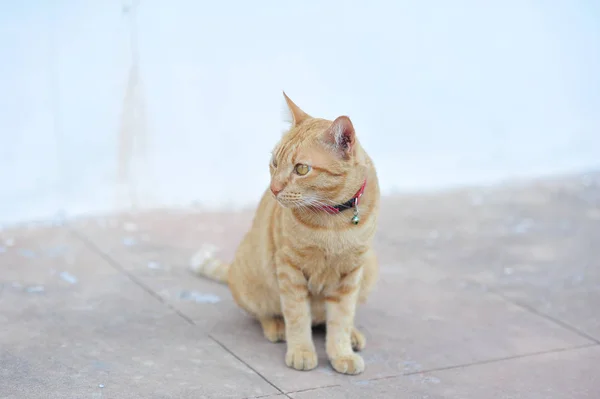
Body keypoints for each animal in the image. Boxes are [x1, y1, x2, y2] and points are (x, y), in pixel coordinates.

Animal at [192, 93, 380, 376]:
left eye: (301, 169)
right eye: (274, 163)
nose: (274, 188)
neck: (333, 221)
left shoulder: (350, 273)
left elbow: (342, 318)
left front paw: (342, 352)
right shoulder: (289, 269)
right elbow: (297, 315)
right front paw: (301, 351)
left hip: (369, 269)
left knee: (326, 320)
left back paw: (353, 335)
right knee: (265, 313)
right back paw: (276, 327)